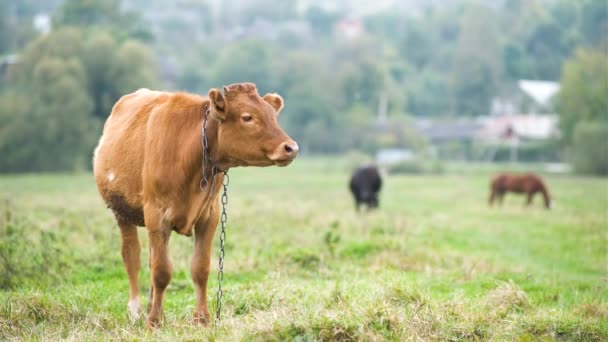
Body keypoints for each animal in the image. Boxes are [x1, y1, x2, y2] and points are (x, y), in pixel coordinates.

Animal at [92, 82, 296, 326]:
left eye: (273, 116)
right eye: (247, 117)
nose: (291, 147)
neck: (190, 153)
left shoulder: (210, 215)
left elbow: (200, 268)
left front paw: (202, 318)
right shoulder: (156, 214)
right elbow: (162, 271)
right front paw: (154, 322)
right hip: (122, 212)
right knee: (132, 256)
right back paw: (136, 309)